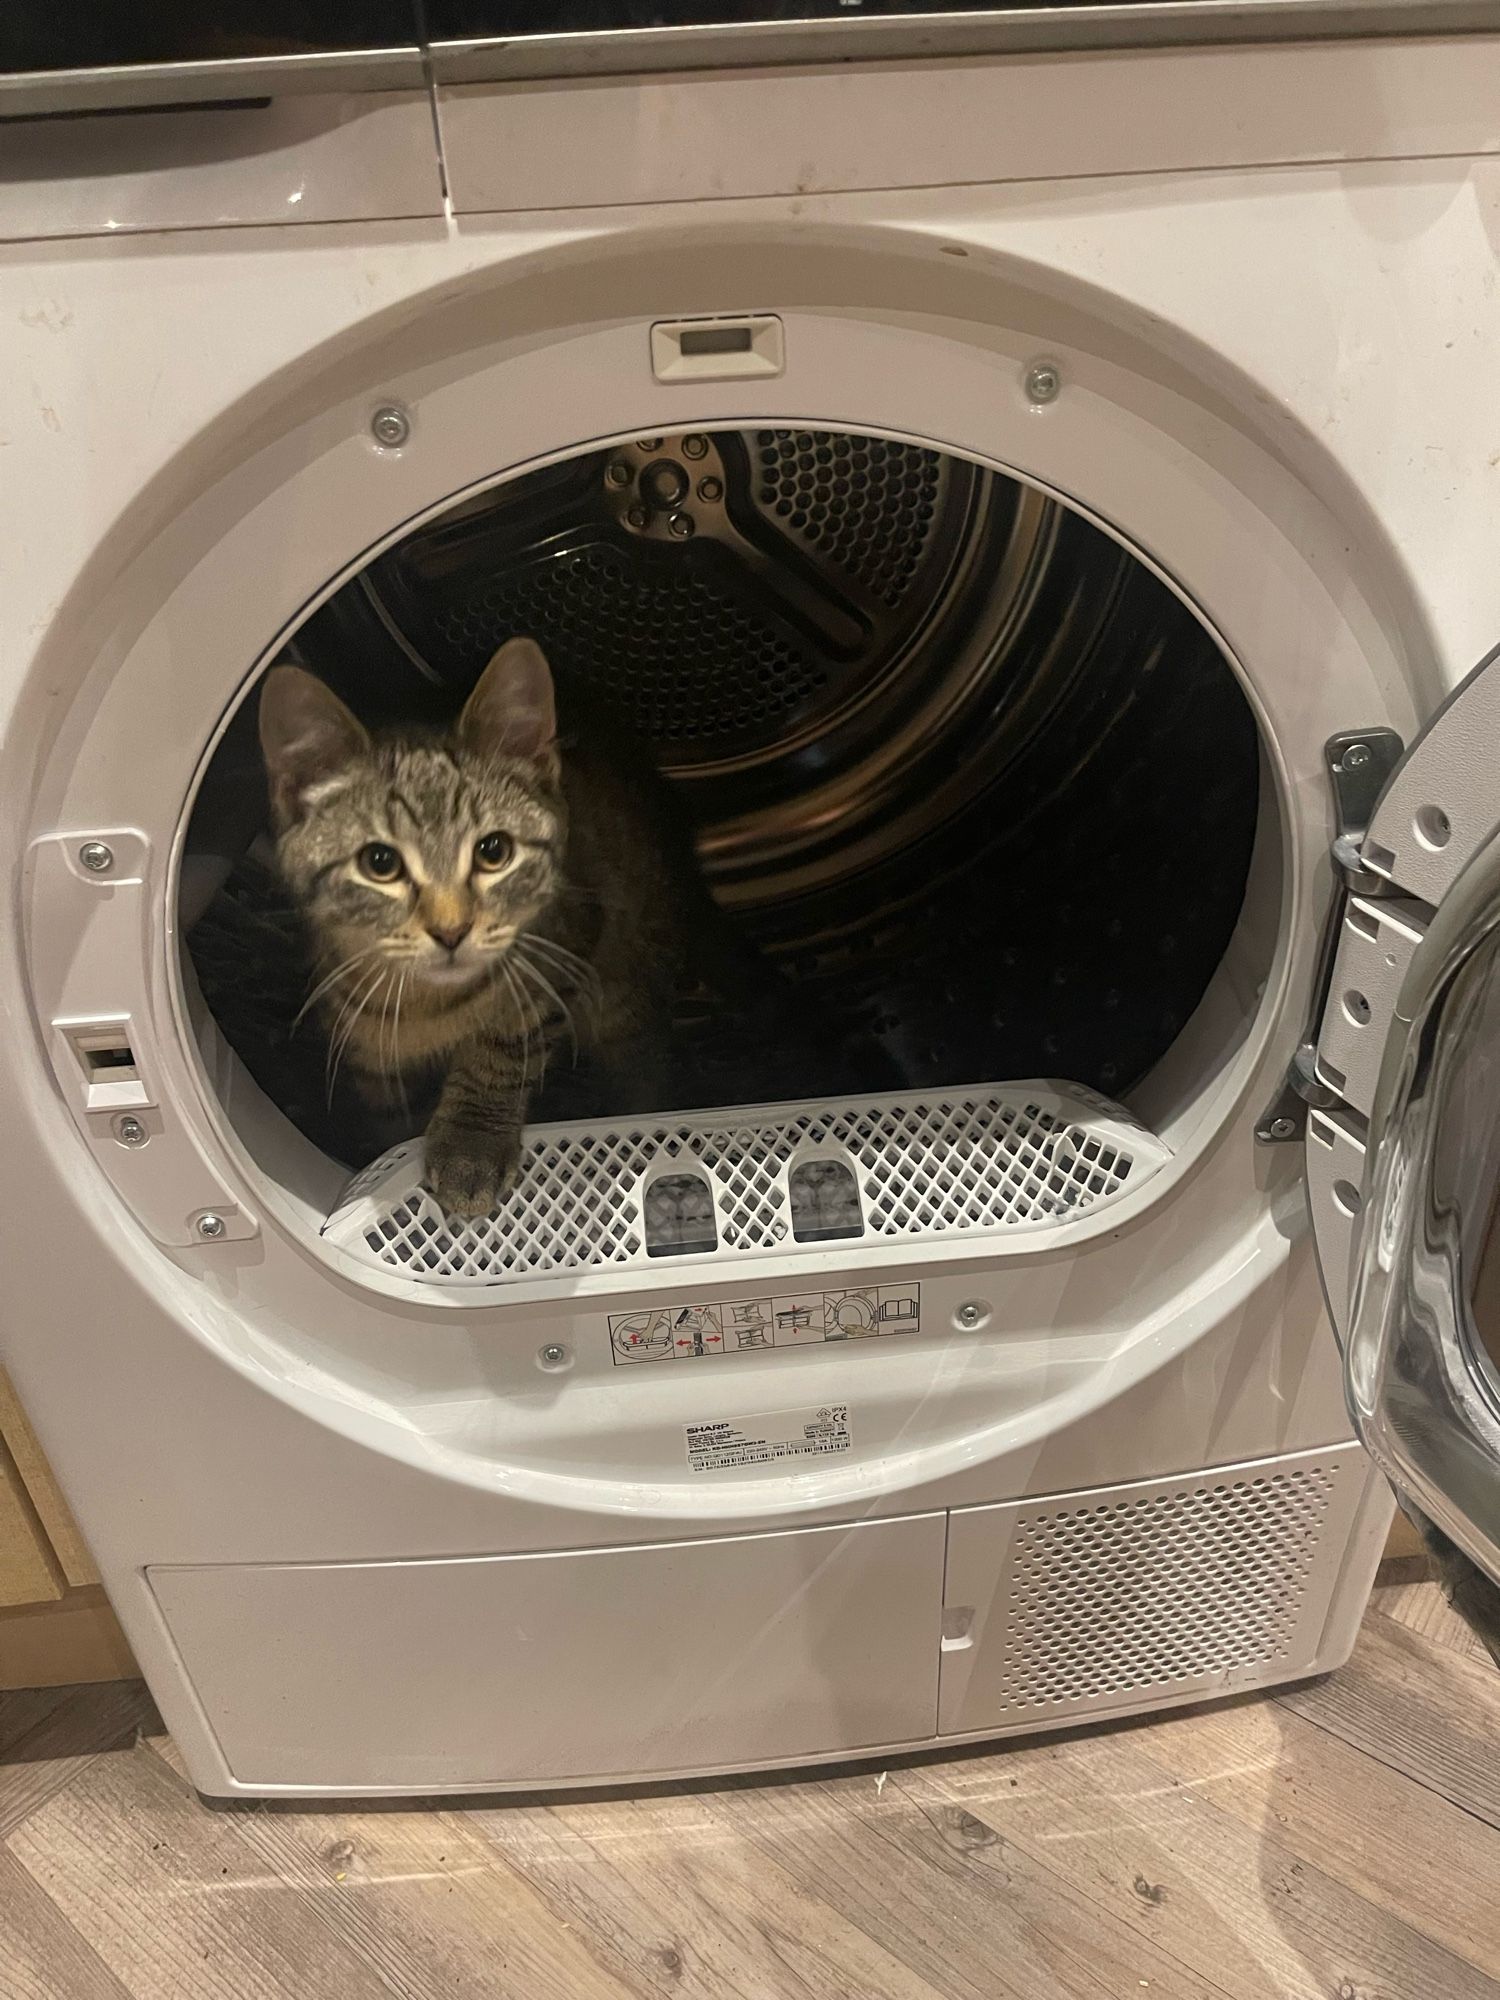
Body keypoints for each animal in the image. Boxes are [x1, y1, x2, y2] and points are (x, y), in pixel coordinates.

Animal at [262, 636, 688, 1216]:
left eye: (494, 851)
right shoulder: (361, 1048)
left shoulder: (563, 950)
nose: (451, 930)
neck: (427, 1007)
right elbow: (384, 1113)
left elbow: (502, 1048)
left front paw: (471, 1143)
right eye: (380, 862)